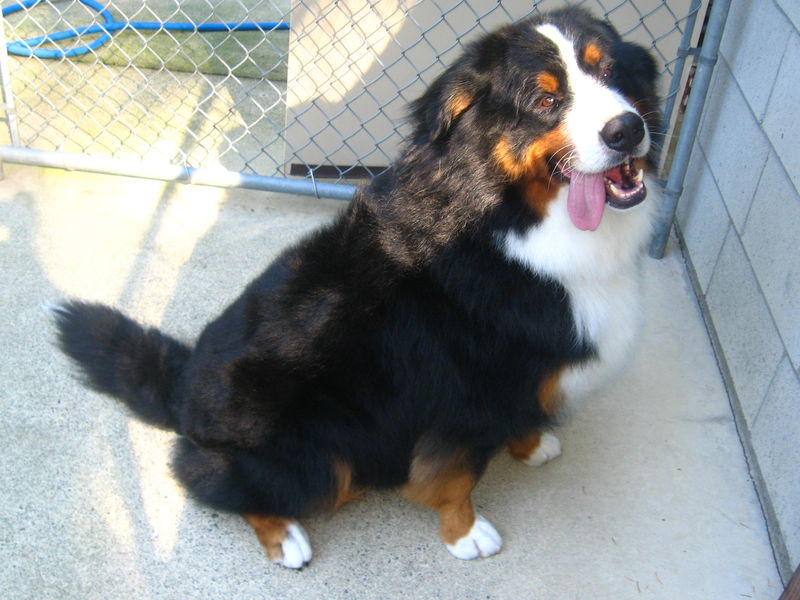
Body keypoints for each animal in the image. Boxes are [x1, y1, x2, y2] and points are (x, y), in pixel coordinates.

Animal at [53, 7, 660, 568]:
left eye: (611, 72)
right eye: (545, 100)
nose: (626, 129)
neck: (513, 219)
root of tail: (181, 387)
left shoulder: (514, 379)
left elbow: (521, 414)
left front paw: (531, 445)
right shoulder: (463, 389)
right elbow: (453, 475)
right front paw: (464, 532)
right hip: (317, 457)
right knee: (212, 481)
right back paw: (284, 535)